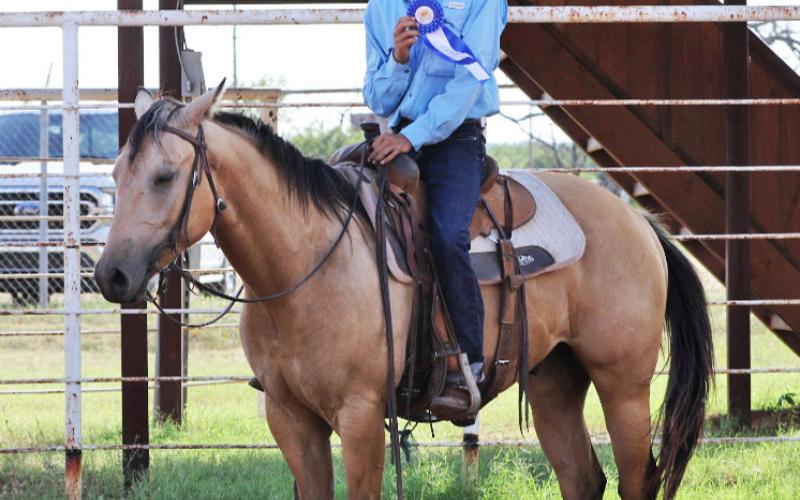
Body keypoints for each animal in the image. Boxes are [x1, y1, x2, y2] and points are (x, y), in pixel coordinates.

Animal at [95, 84, 713, 500]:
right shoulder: (289, 417)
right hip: (554, 379)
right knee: (583, 478)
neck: (304, 261)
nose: (111, 276)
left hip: (623, 383)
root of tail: (639, 223)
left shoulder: (362, 415)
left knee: (637, 479)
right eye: (117, 175)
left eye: (164, 177)